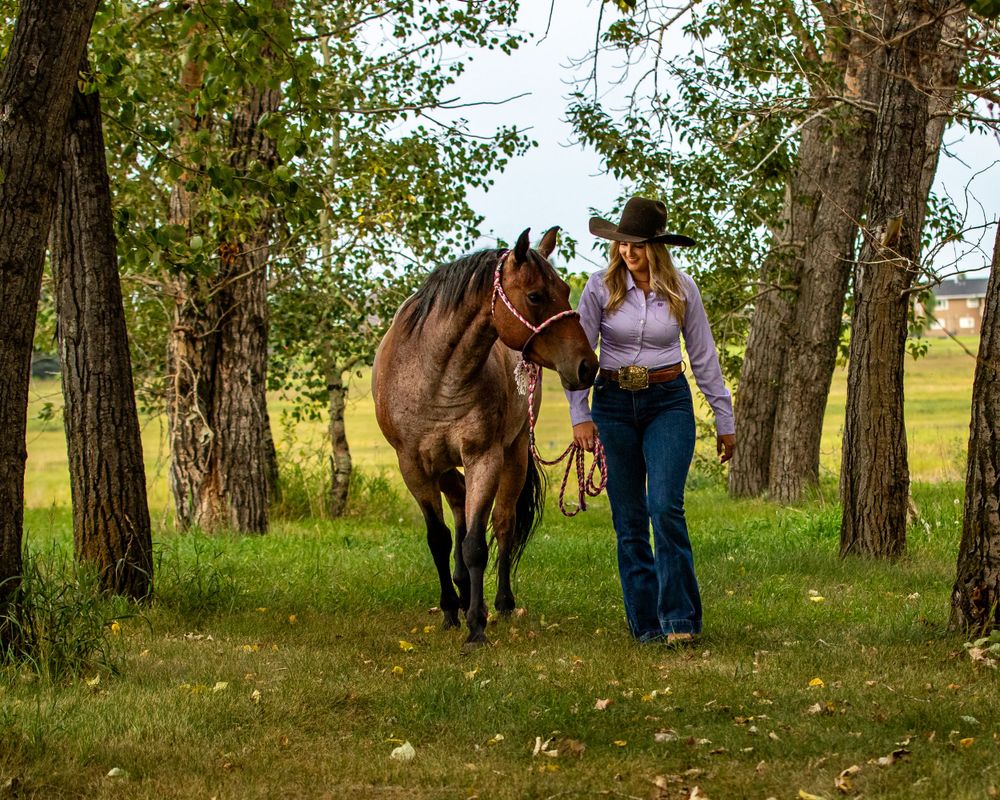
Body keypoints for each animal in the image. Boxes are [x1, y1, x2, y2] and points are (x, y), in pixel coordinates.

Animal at [372, 226, 599, 648]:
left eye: (565, 288)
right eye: (535, 295)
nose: (587, 366)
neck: (437, 374)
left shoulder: (484, 457)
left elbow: (477, 543)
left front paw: (477, 624)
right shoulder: (414, 465)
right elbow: (440, 538)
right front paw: (450, 609)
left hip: (514, 454)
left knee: (503, 523)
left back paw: (502, 603)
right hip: (443, 464)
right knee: (458, 502)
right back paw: (460, 592)